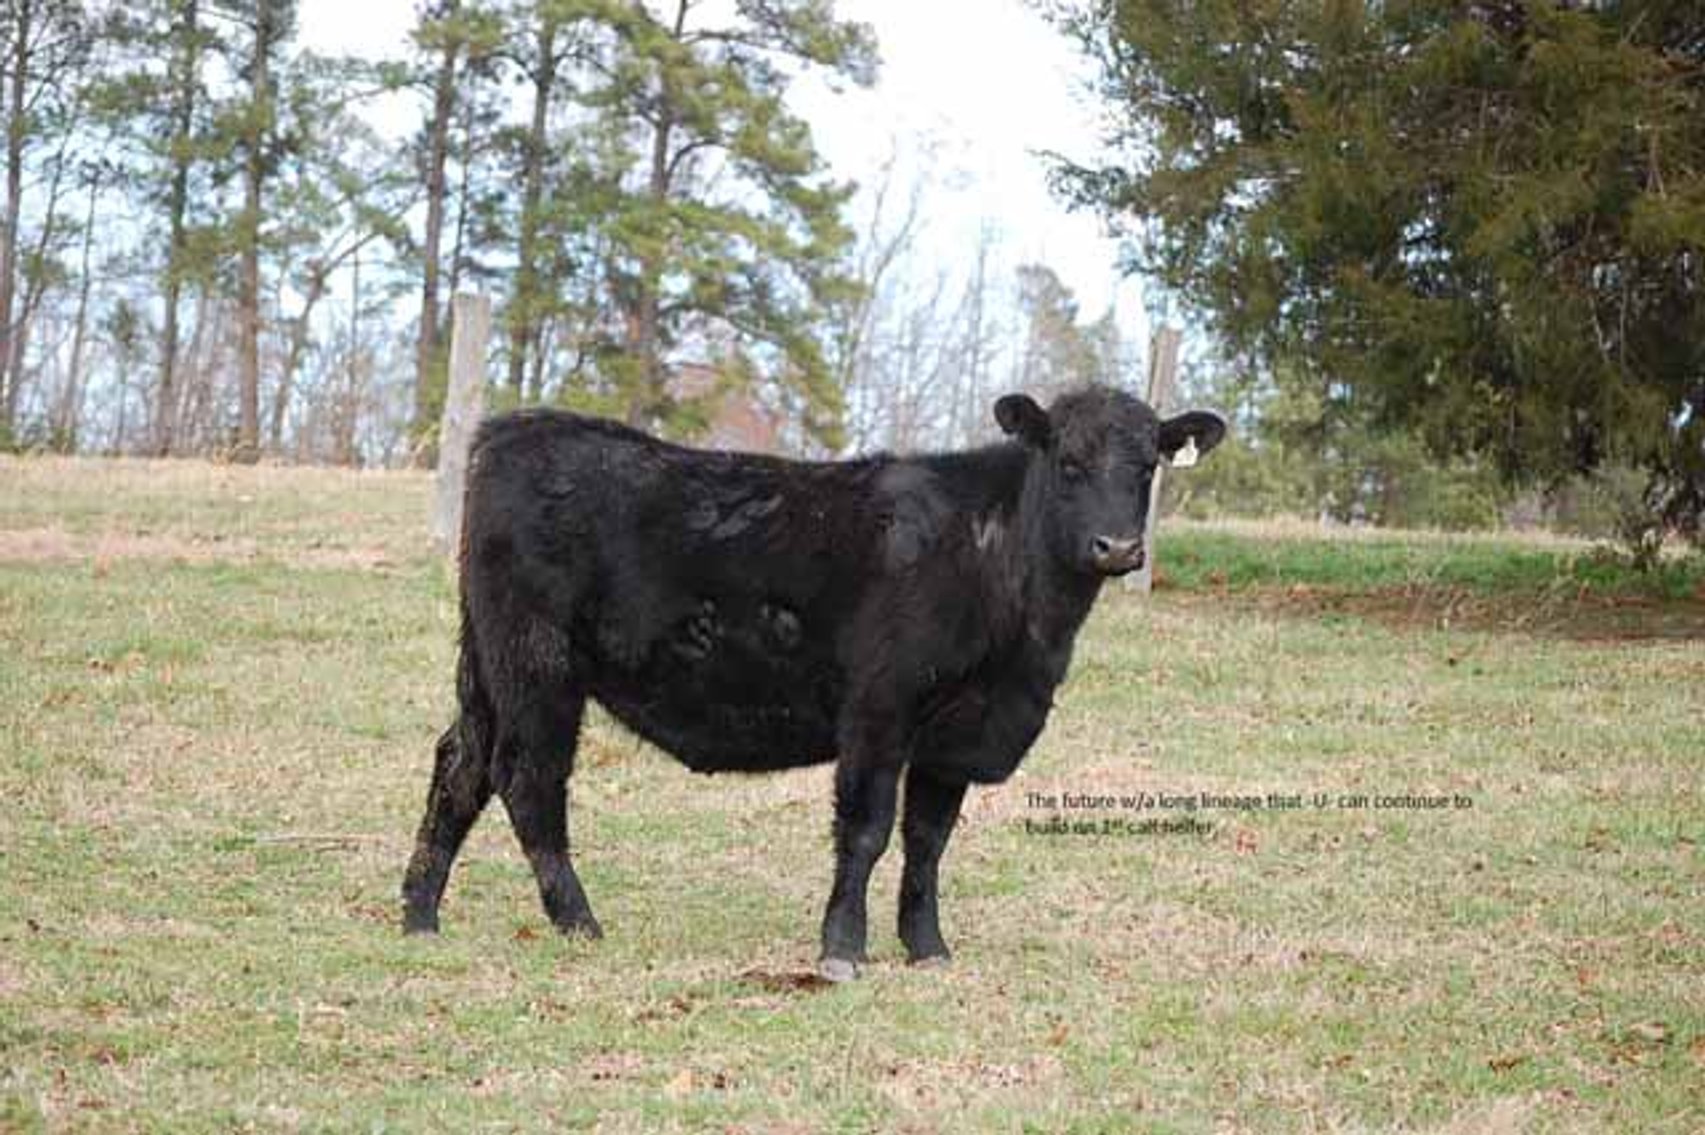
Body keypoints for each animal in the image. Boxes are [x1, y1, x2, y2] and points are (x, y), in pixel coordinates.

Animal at [400, 384, 1225, 981]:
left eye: (1147, 466)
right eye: (1067, 462)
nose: (1117, 547)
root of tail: (513, 428)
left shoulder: (955, 732)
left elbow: (928, 842)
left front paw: (927, 947)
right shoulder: (878, 707)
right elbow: (866, 830)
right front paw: (841, 949)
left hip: (487, 663)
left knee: (459, 764)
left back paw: (419, 914)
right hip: (537, 664)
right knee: (527, 778)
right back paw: (579, 921)